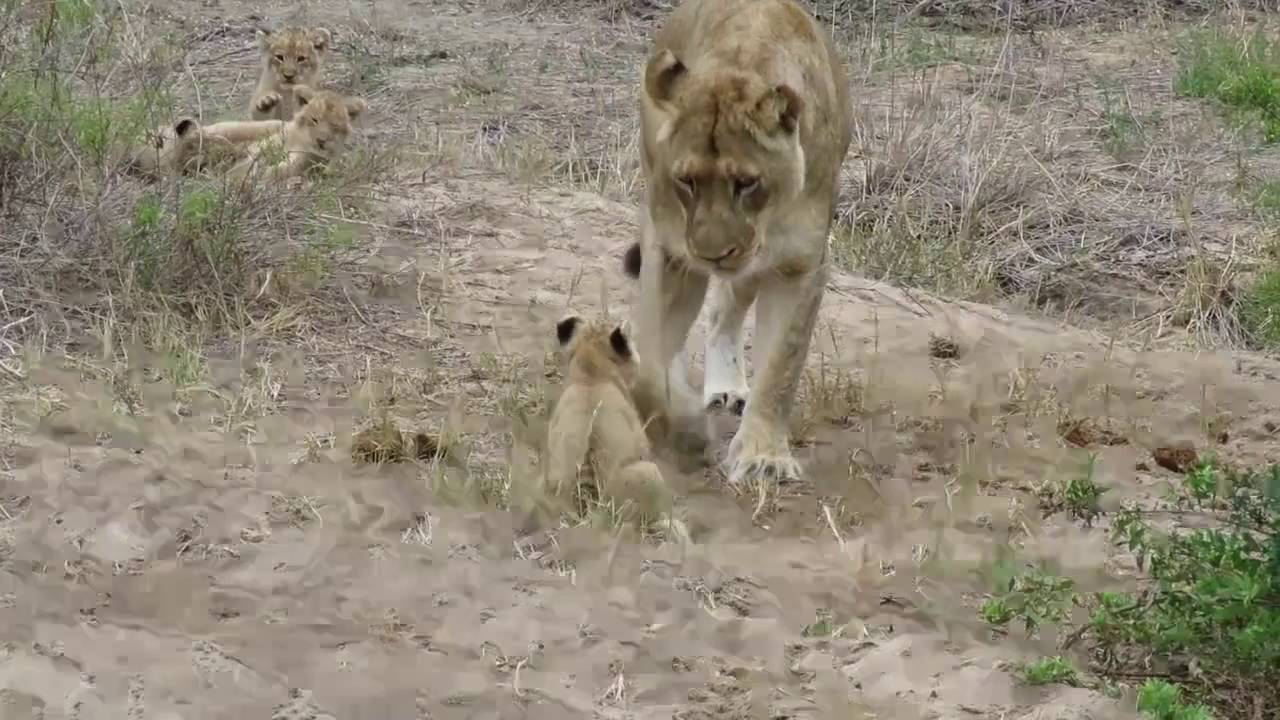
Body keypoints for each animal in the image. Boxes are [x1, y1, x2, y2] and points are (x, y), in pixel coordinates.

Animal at [624, 0, 853, 488]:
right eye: (687, 181)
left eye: (746, 183)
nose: (713, 253)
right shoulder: (671, 253)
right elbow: (652, 361)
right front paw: (683, 429)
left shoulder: (800, 265)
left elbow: (781, 368)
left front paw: (764, 457)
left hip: (748, 268)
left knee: (723, 310)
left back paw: (725, 387)